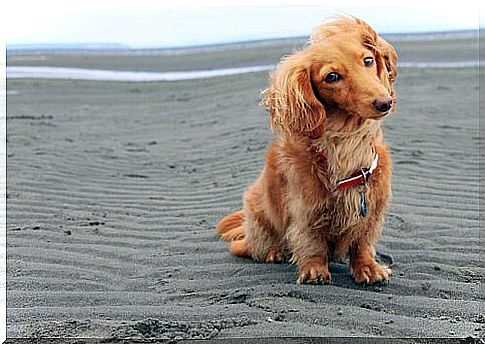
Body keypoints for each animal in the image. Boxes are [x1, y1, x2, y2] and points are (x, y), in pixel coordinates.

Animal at [216, 16, 398, 284]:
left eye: (368, 60)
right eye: (332, 77)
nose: (385, 103)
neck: (346, 143)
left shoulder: (371, 211)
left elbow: (361, 241)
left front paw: (368, 268)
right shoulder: (305, 211)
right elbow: (312, 243)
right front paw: (314, 270)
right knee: (245, 248)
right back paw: (272, 252)